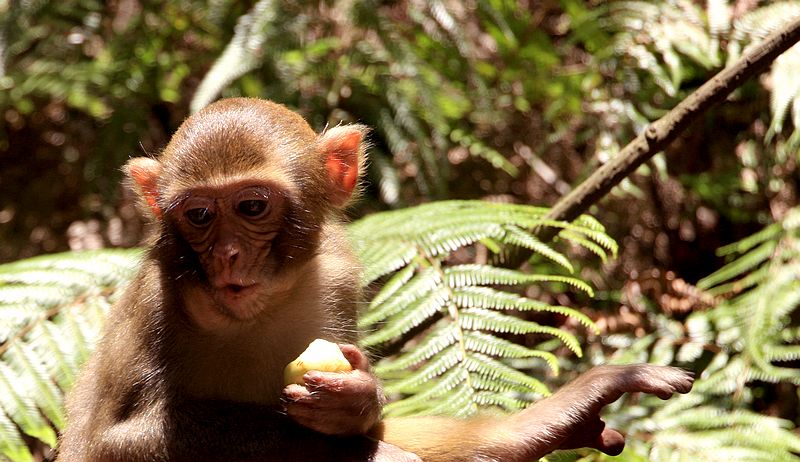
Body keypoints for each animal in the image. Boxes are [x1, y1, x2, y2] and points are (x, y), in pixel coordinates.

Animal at [56, 95, 692, 460]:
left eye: (252, 207)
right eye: (199, 216)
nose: (229, 256)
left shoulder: (336, 277)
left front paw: (356, 402)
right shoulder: (155, 303)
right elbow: (113, 443)